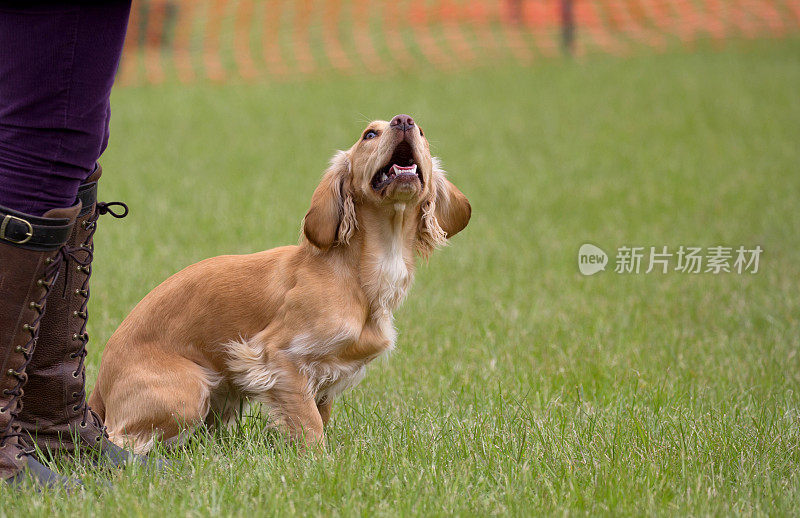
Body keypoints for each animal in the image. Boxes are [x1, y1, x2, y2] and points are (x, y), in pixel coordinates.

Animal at [89, 112, 468, 450]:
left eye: (422, 130)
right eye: (369, 134)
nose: (403, 121)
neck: (357, 274)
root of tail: (98, 392)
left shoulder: (328, 374)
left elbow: (320, 415)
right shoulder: (278, 357)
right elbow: (310, 426)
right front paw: (319, 462)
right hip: (189, 391)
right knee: (123, 440)